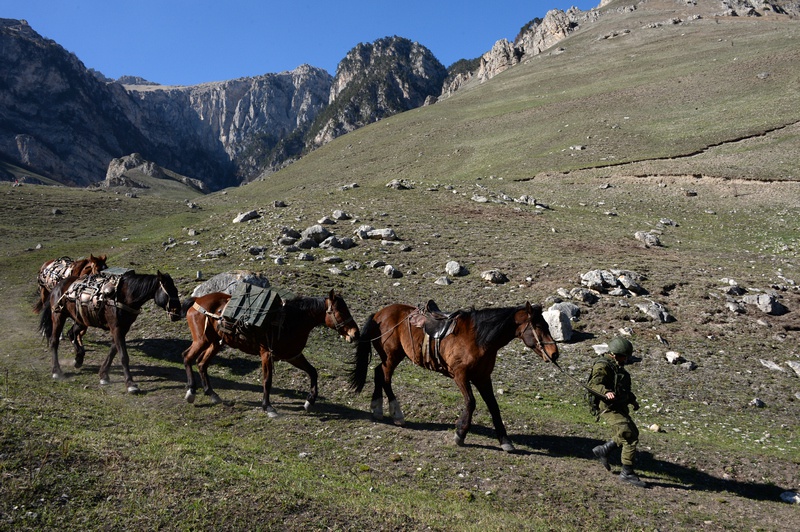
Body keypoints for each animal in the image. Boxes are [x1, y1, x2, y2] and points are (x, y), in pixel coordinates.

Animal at [38, 270, 181, 390]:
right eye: (169, 290)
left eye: (175, 289)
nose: (177, 313)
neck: (125, 296)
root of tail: (57, 286)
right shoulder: (116, 328)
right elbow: (123, 355)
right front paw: (130, 384)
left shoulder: (122, 328)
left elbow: (113, 350)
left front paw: (103, 375)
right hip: (58, 316)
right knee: (54, 341)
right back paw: (56, 371)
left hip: (81, 320)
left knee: (71, 333)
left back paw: (78, 359)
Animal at [184, 286, 360, 416]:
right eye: (340, 311)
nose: (355, 333)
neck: (291, 321)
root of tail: (197, 300)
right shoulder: (267, 354)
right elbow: (267, 380)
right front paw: (268, 407)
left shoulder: (293, 356)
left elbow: (313, 372)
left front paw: (309, 401)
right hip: (201, 340)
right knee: (187, 357)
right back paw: (191, 391)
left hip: (215, 343)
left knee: (201, 363)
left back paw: (212, 394)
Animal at [346, 302, 560, 450]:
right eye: (538, 326)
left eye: (547, 325)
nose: (554, 353)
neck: (480, 338)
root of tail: (380, 314)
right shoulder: (460, 376)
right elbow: (471, 402)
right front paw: (460, 434)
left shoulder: (483, 378)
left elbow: (494, 406)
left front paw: (505, 440)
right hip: (392, 356)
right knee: (385, 377)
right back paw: (396, 414)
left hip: (391, 356)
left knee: (378, 374)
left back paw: (377, 409)